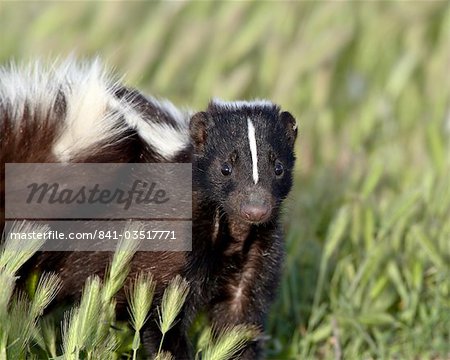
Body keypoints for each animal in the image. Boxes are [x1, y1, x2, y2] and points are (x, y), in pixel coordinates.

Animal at [0, 60, 298, 358]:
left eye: (278, 168)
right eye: (225, 168)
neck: (232, 232)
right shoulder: (168, 246)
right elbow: (162, 322)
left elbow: (239, 322)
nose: (255, 208)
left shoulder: (256, 255)